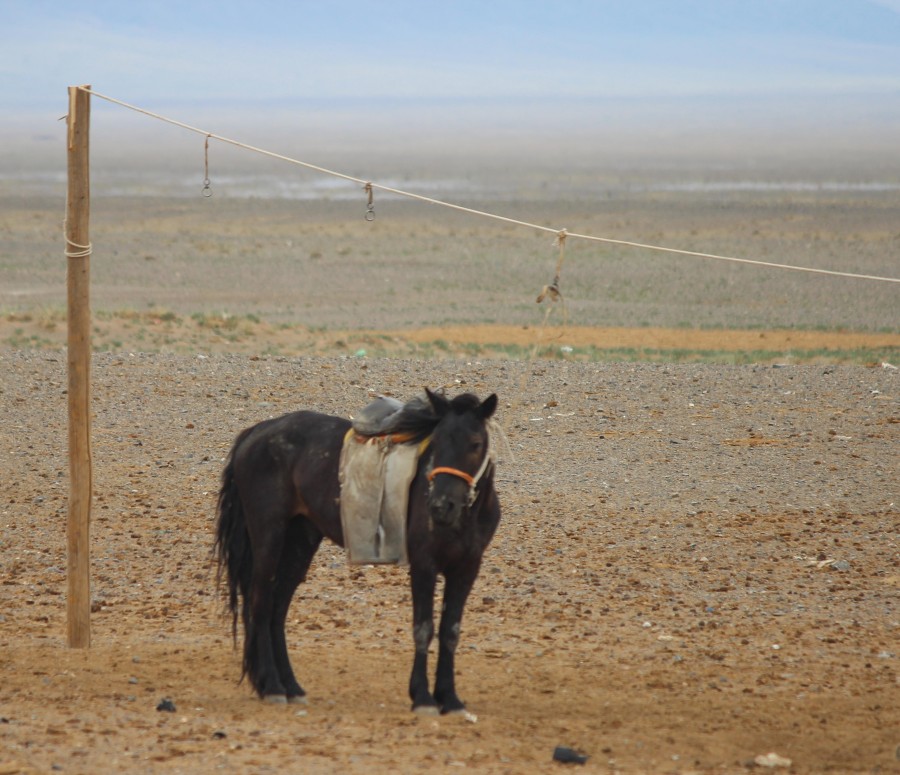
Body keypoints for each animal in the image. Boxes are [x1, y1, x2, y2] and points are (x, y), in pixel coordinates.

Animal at [214, 388, 501, 715]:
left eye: (475, 444)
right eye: (437, 442)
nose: (441, 506)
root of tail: (256, 432)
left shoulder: (466, 568)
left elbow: (450, 631)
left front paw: (450, 699)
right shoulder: (424, 565)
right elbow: (424, 627)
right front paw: (423, 698)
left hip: (300, 542)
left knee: (277, 610)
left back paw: (290, 686)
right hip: (268, 538)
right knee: (261, 605)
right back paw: (273, 687)